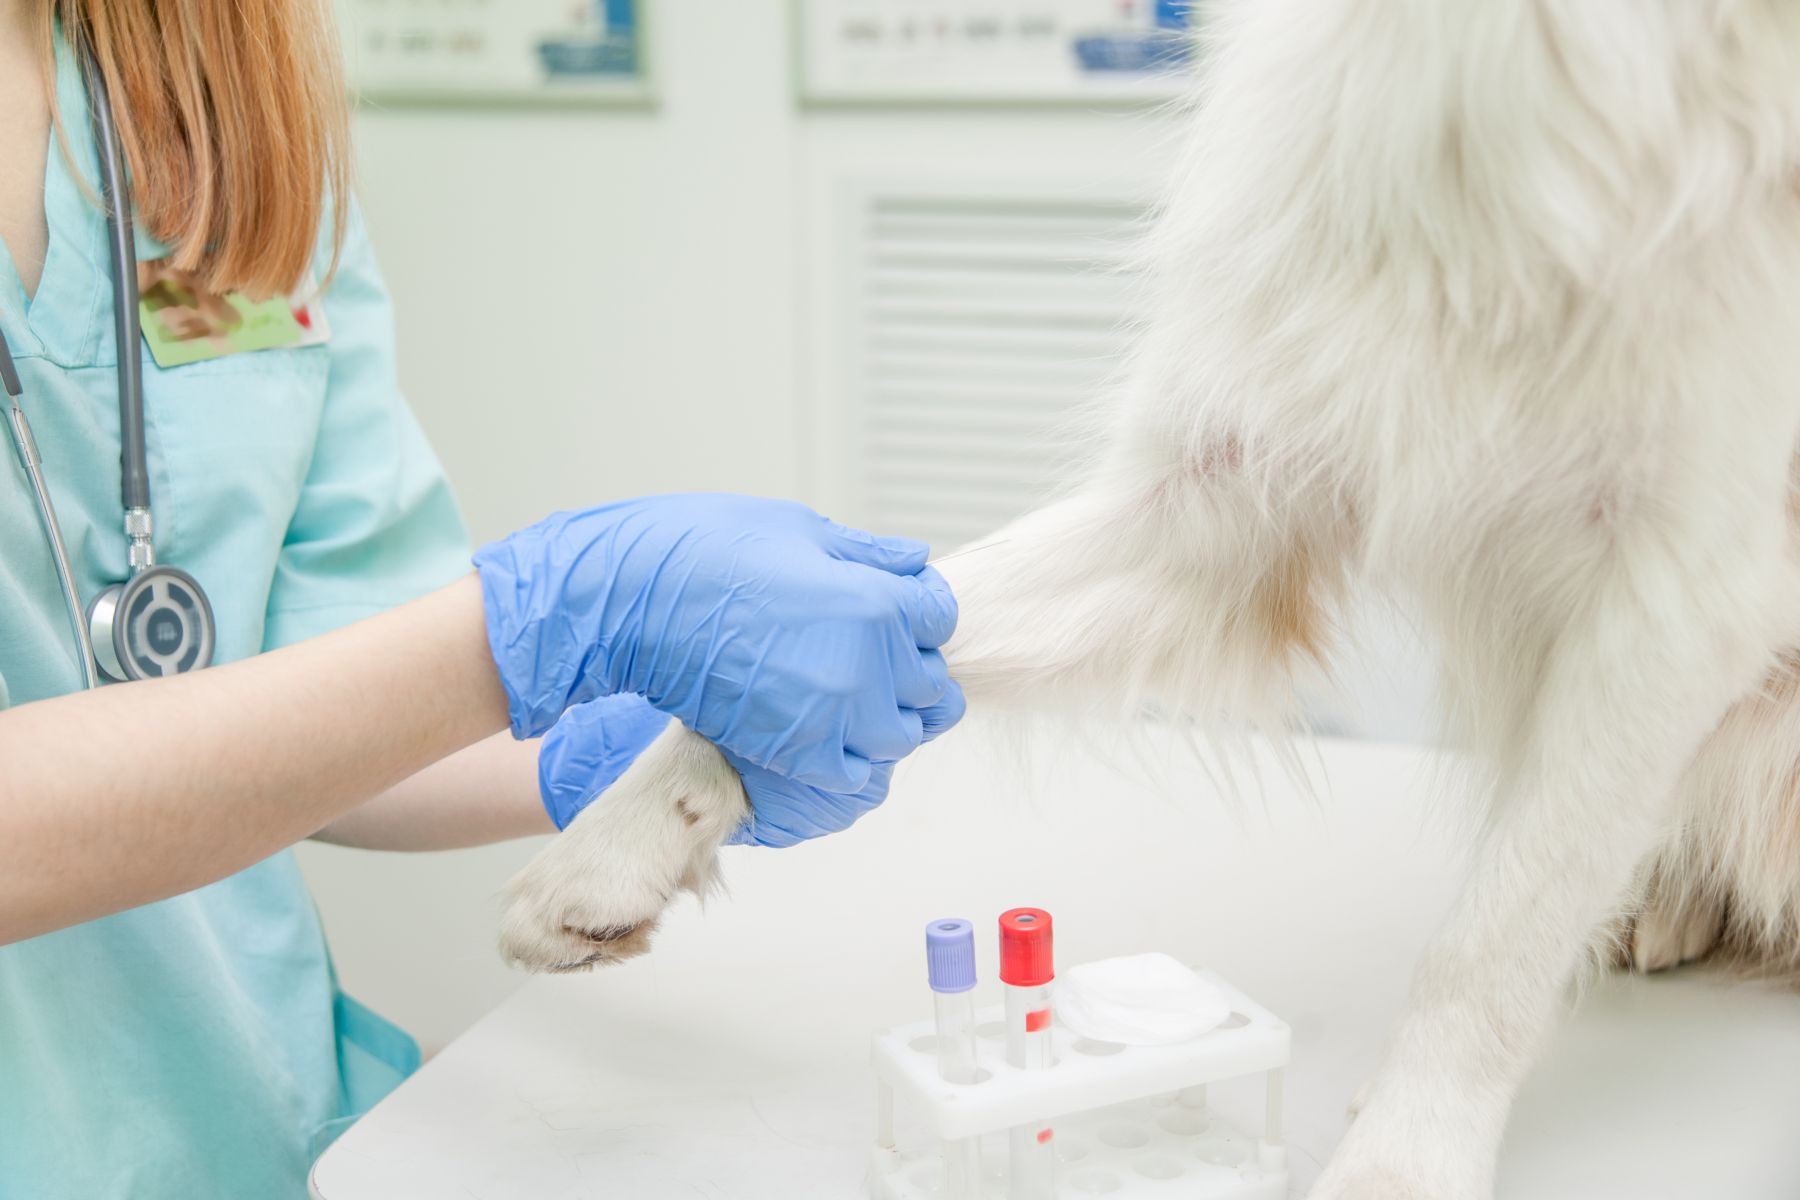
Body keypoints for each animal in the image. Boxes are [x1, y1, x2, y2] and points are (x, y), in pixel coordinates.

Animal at [500, 4, 1800, 1194]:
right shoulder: (1214, 505)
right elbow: (850, 637)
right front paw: (604, 855)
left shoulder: (1679, 600)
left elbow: (1500, 926)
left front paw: (1408, 1151)